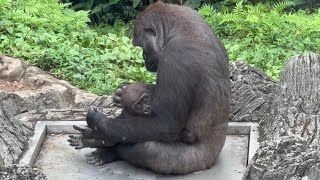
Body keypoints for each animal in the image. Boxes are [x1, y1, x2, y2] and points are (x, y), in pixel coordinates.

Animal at [75, 0, 229, 174]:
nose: (143, 57)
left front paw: (98, 124)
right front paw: (122, 91)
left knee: (147, 149)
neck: (178, 28)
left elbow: (164, 125)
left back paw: (103, 145)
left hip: (196, 162)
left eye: (141, 45)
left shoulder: (175, 55)